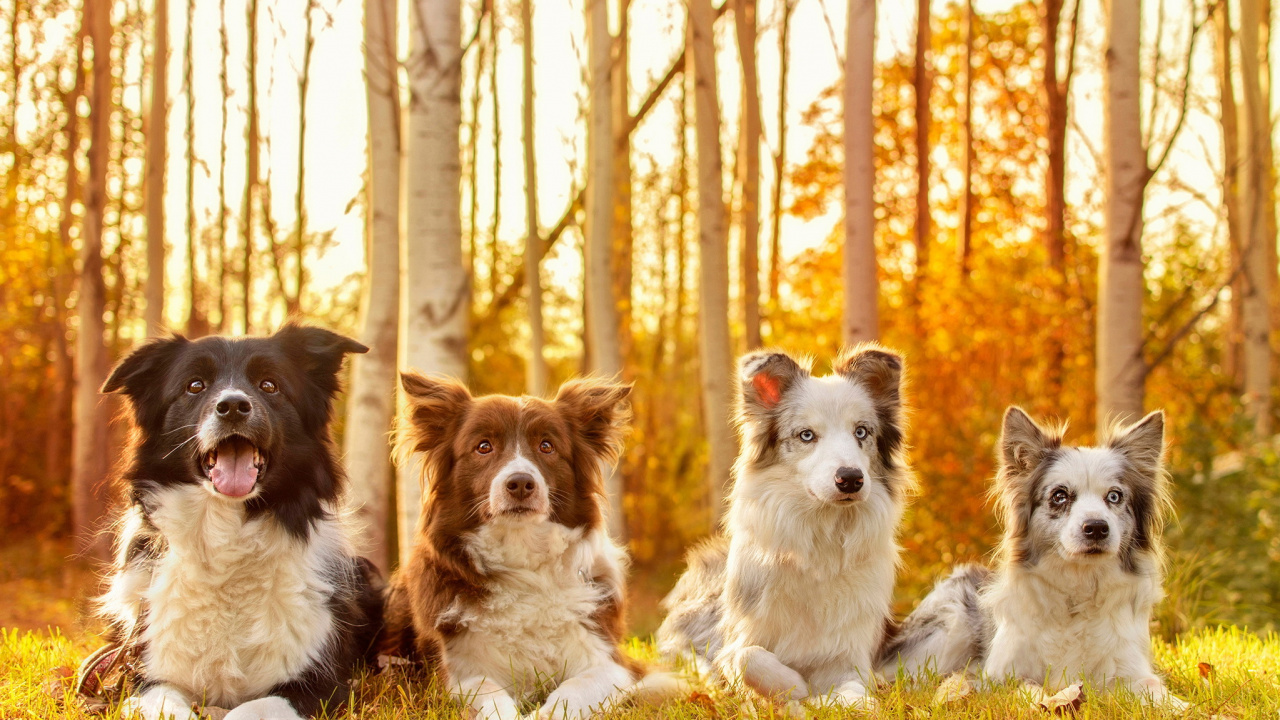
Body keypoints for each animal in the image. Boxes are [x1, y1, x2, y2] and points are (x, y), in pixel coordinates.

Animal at [97, 324, 381, 717]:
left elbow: (251, 709)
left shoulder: (320, 684)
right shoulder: (144, 674)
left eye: (269, 385)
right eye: (195, 385)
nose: (232, 406)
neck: (228, 542)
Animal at [381, 368, 655, 717]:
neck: (522, 557)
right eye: (483, 446)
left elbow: (574, 689)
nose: (521, 483)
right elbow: (488, 691)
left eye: (547, 446)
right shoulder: (456, 671)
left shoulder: (614, 662)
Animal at [655, 345, 916, 707]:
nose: (850, 479)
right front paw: (795, 686)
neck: (823, 537)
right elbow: (745, 655)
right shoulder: (738, 638)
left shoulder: (851, 654)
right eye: (806, 435)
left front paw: (848, 699)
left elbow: (855, 688)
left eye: (861, 432)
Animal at [880, 404, 1187, 707]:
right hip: (949, 627)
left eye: (1114, 496)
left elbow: (1154, 688)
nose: (1097, 528)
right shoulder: (1000, 675)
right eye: (1059, 496)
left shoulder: (1130, 669)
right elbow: (1027, 687)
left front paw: (1180, 706)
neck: (1078, 589)